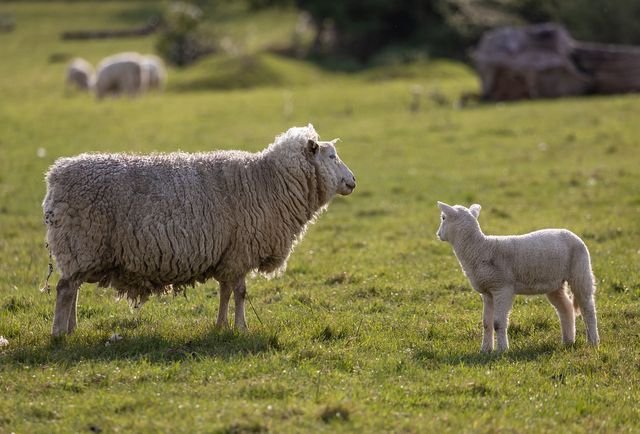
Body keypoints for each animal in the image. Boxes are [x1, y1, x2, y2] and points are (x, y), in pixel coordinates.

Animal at [43, 124, 356, 336]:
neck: (268, 181)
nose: (353, 181)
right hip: (80, 242)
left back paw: (72, 328)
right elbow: (240, 292)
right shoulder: (241, 251)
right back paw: (59, 333)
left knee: (73, 289)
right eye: (331, 156)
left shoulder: (228, 254)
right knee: (65, 289)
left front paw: (221, 325)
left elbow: (226, 292)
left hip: (80, 250)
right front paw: (241, 327)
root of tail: (55, 175)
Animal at [436, 201, 599, 352]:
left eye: (443, 218)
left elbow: (498, 323)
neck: (480, 249)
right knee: (566, 308)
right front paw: (485, 350)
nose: (438, 234)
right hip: (555, 283)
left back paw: (593, 342)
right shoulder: (488, 291)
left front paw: (502, 350)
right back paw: (568, 341)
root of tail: (572, 234)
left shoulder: (502, 288)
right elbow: (486, 323)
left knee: (588, 308)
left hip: (580, 271)